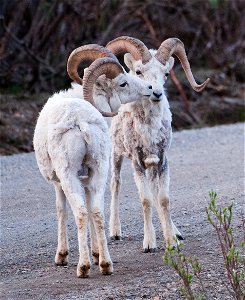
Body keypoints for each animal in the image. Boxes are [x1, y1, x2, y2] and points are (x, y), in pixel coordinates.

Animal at [33, 44, 152, 276]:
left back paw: (84, 267)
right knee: (97, 212)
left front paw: (61, 257)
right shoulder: (87, 179)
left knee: (80, 213)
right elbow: (90, 209)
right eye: (123, 82)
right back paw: (105, 264)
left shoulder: (59, 183)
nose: (150, 88)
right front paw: (96, 254)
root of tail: (81, 123)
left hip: (69, 176)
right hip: (99, 170)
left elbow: (62, 211)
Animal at [106, 35, 210, 251]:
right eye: (139, 72)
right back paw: (115, 232)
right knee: (115, 185)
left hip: (152, 167)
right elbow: (146, 200)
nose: (156, 93)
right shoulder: (137, 162)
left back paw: (176, 233)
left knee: (155, 192)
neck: (149, 130)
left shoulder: (161, 159)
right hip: (117, 155)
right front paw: (149, 244)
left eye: (166, 73)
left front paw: (172, 241)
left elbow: (162, 199)